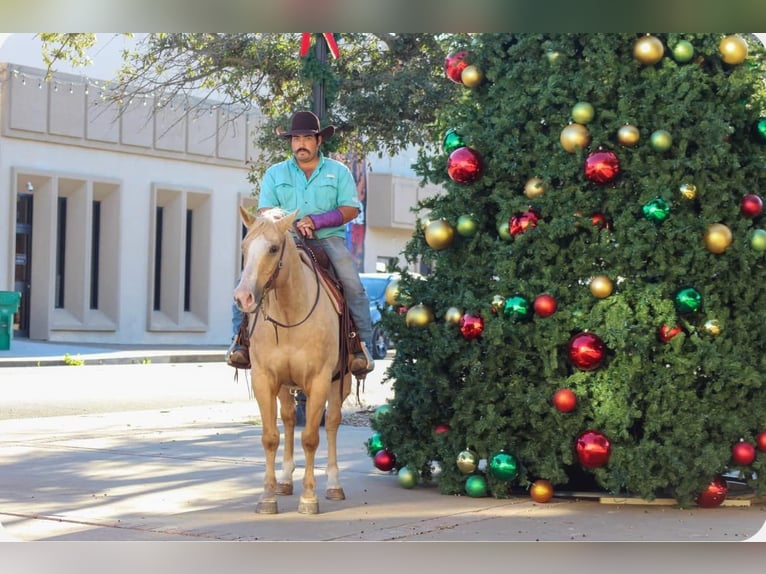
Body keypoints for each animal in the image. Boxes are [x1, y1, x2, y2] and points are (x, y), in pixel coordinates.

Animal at [234, 208, 354, 516]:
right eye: (244, 248)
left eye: (274, 248)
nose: (243, 297)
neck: (290, 313)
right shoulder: (264, 379)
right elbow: (270, 437)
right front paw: (267, 497)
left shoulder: (319, 380)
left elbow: (311, 437)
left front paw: (309, 498)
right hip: (284, 385)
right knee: (288, 420)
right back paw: (285, 481)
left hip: (342, 380)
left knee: (332, 423)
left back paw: (334, 484)